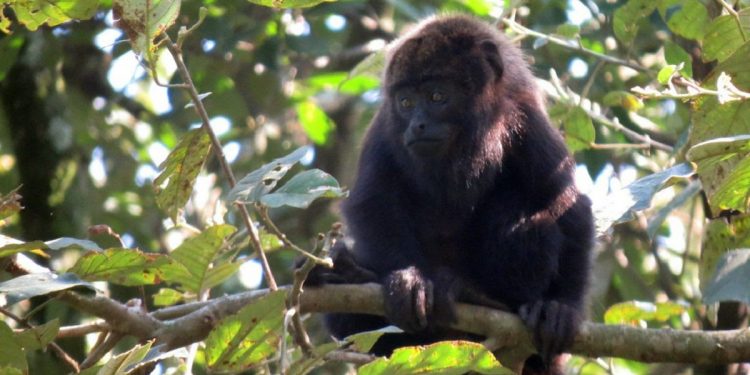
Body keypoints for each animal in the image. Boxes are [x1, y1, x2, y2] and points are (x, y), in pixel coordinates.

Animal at [308, 13, 596, 374]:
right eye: (406, 102)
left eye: (437, 96)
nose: (416, 125)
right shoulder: (386, 128)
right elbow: (373, 203)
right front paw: (410, 282)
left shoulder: (524, 120)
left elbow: (567, 205)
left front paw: (562, 308)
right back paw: (346, 274)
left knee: (519, 208)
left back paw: (483, 298)